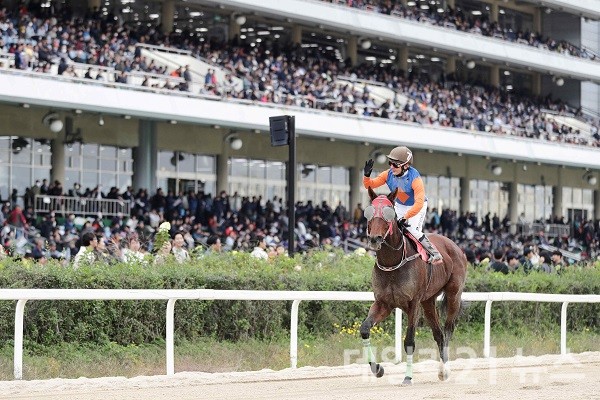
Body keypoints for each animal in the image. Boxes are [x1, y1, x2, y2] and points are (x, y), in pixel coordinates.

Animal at [358, 188, 466, 384]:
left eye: (388, 212)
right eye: (368, 212)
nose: (375, 239)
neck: (393, 263)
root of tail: (454, 245)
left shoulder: (413, 303)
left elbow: (409, 341)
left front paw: (408, 377)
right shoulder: (383, 303)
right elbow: (364, 329)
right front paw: (377, 369)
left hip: (454, 294)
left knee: (448, 330)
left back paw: (444, 370)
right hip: (428, 301)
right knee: (438, 334)